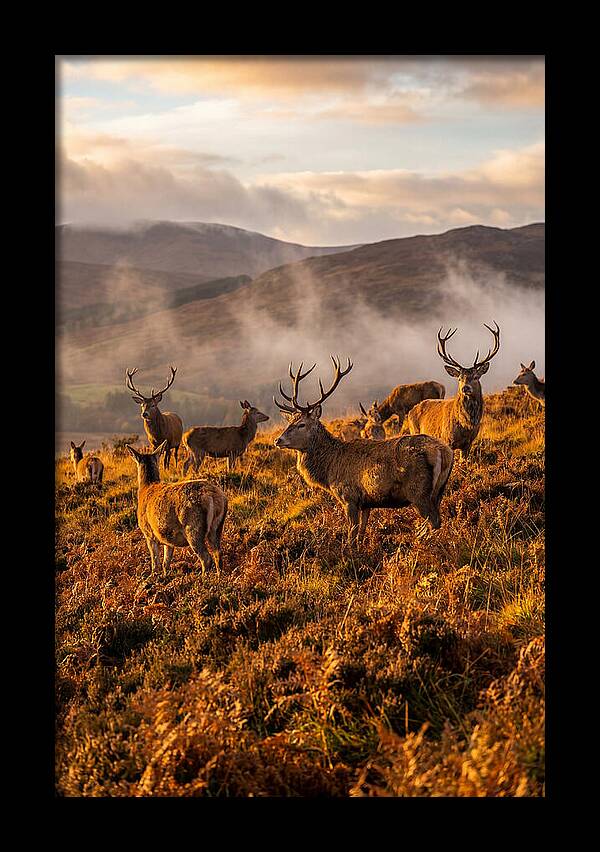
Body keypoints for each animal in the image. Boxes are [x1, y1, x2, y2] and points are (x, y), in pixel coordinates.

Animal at [126, 440, 228, 576]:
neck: (146, 488)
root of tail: (214, 497)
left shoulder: (148, 532)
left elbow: (155, 562)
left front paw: (154, 576)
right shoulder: (166, 536)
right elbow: (166, 562)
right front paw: (165, 575)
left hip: (193, 527)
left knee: (206, 558)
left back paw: (203, 578)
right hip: (217, 526)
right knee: (218, 554)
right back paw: (218, 576)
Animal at [273, 356, 454, 545]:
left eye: (301, 424)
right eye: (289, 422)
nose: (278, 440)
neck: (329, 470)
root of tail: (444, 451)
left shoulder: (349, 497)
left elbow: (351, 534)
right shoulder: (366, 502)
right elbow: (361, 532)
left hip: (418, 491)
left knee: (434, 520)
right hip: (439, 489)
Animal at [407, 322, 501, 462]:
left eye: (476, 377)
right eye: (459, 378)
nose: (465, 388)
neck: (466, 425)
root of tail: (410, 411)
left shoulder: (468, 444)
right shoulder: (447, 439)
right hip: (415, 431)